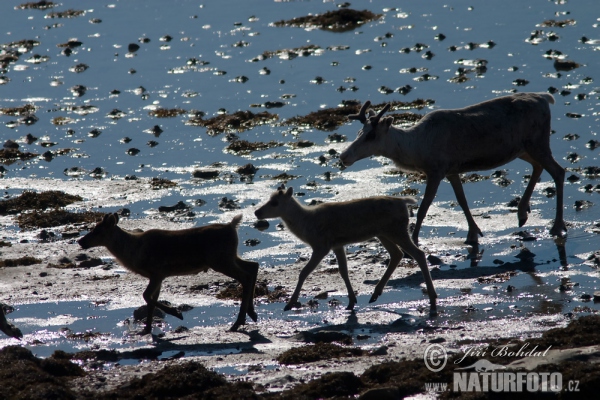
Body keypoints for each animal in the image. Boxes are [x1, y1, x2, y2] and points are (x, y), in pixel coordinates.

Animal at [78, 214, 258, 332]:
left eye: (97, 230)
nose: (80, 241)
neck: (133, 251)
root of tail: (232, 226)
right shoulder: (158, 276)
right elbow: (151, 300)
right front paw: (147, 329)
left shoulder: (157, 272)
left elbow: (146, 296)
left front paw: (176, 313)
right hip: (229, 256)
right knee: (253, 266)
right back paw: (251, 314)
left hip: (220, 259)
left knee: (245, 276)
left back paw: (238, 322)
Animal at [253, 184, 436, 312]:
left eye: (275, 202)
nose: (257, 212)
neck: (305, 223)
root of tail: (404, 202)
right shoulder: (337, 245)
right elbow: (343, 271)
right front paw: (351, 302)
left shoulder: (321, 245)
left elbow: (304, 272)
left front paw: (289, 304)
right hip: (383, 233)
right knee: (397, 254)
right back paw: (375, 294)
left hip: (397, 230)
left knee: (418, 254)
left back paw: (433, 298)